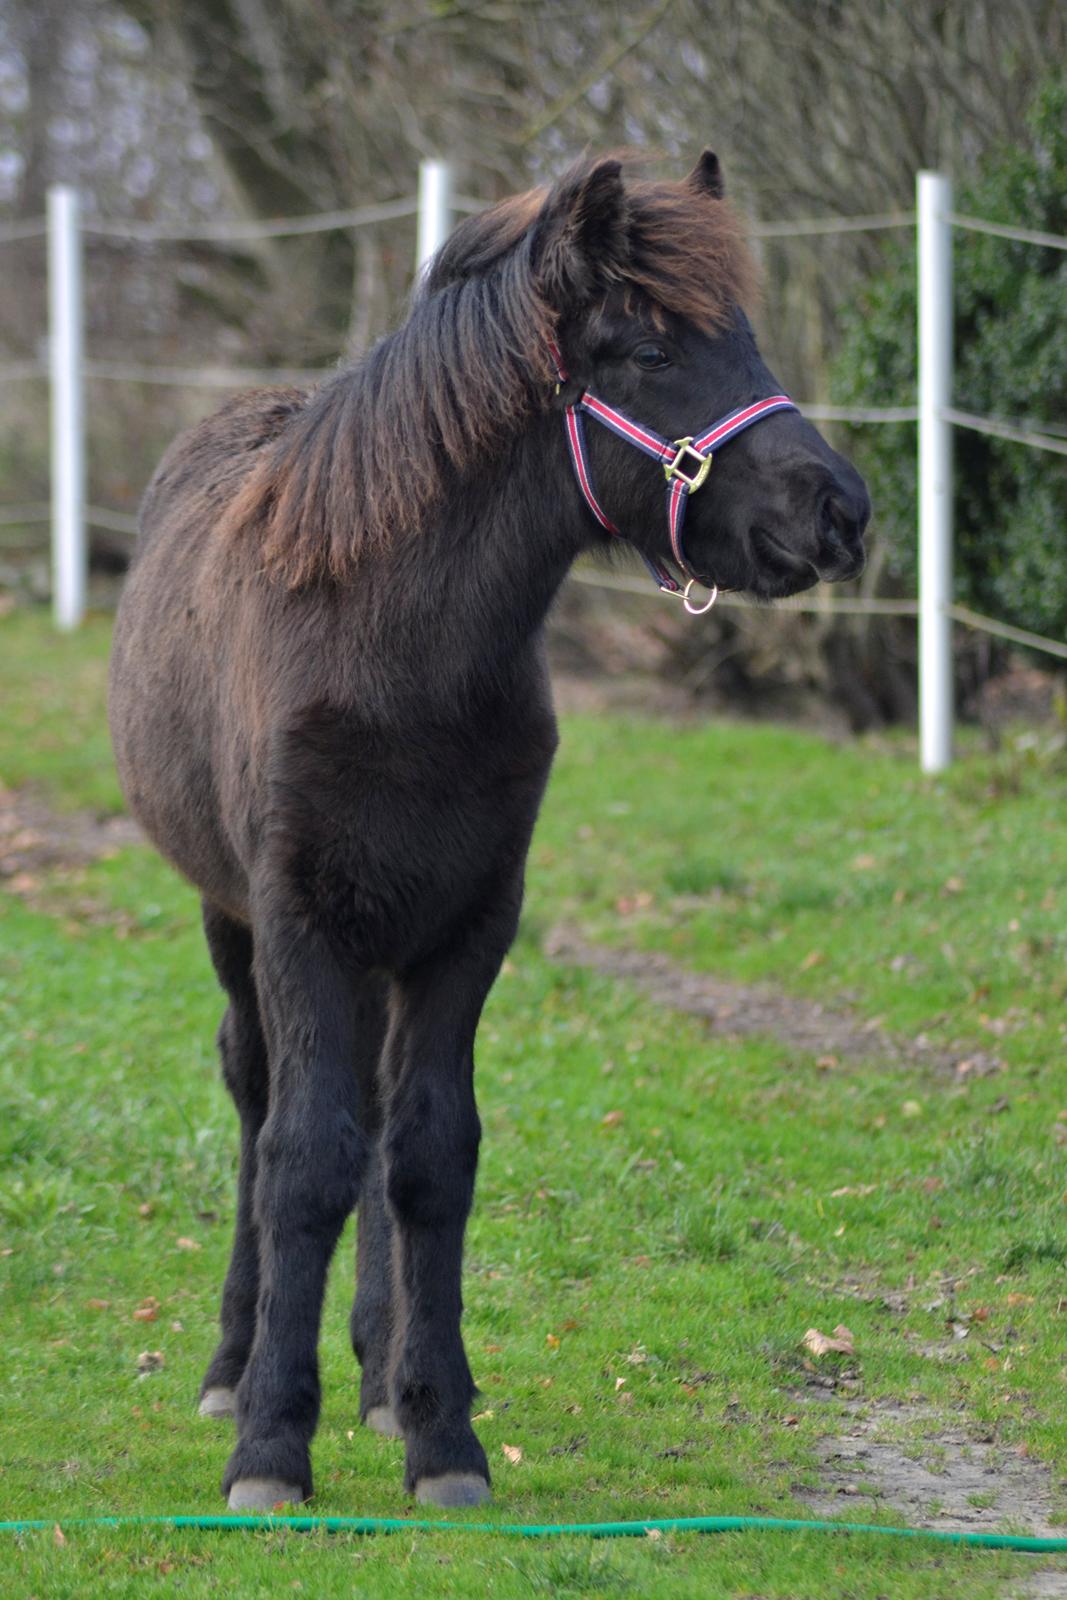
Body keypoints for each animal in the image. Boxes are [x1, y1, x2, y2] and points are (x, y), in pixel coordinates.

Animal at [108, 152, 870, 1510]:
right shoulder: (299, 920)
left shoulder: (468, 922)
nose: (840, 511)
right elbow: (303, 1157)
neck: (395, 649)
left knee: (367, 1121)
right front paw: (271, 1446)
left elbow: (425, 1158)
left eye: (744, 336)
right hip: (232, 918)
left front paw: (438, 1433)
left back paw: (368, 1375)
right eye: (650, 351)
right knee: (258, 1104)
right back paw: (234, 1363)